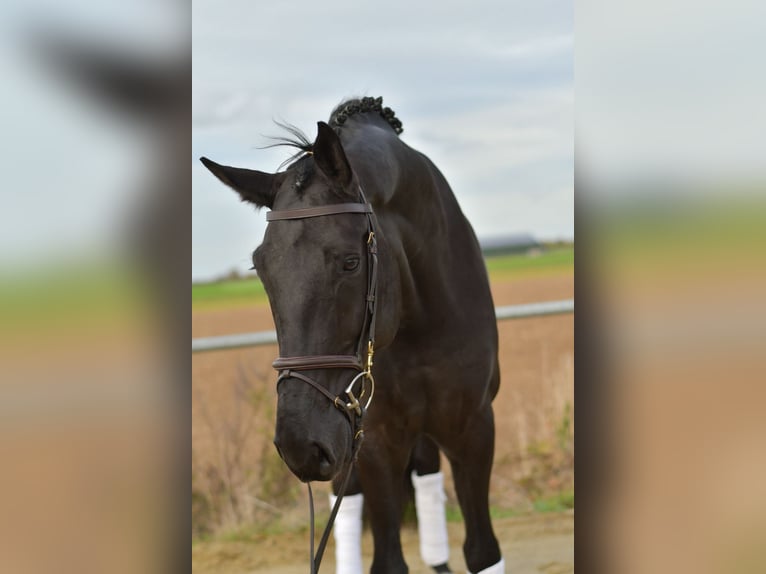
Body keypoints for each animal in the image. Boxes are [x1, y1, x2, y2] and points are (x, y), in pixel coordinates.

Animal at [200, 96, 504, 574]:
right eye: (260, 268)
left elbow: (482, 551)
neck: (418, 325)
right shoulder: (374, 441)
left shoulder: (473, 429)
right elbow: (387, 557)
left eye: (350, 262)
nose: (299, 444)